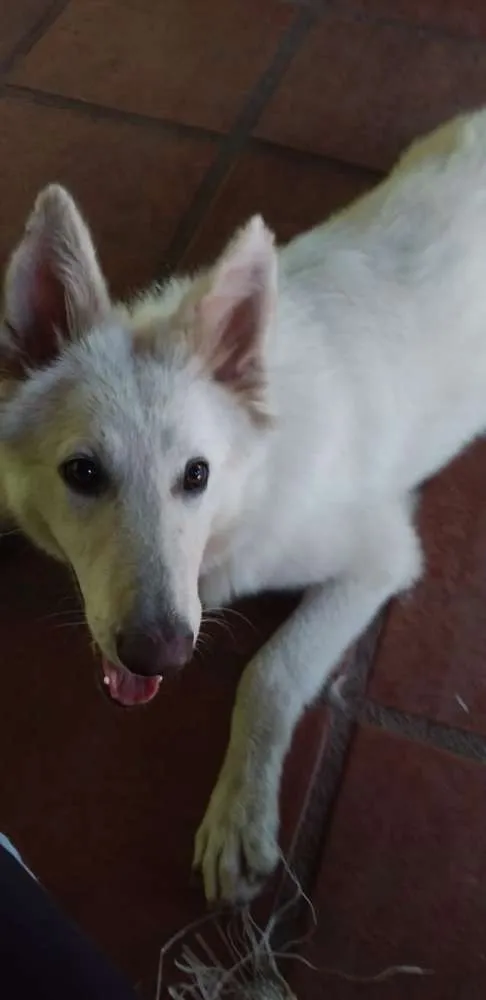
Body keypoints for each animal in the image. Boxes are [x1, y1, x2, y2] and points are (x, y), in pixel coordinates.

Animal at [0, 111, 486, 908]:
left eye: (196, 475)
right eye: (82, 473)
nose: (159, 652)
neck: (250, 482)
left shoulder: (382, 559)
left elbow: (269, 673)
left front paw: (239, 812)